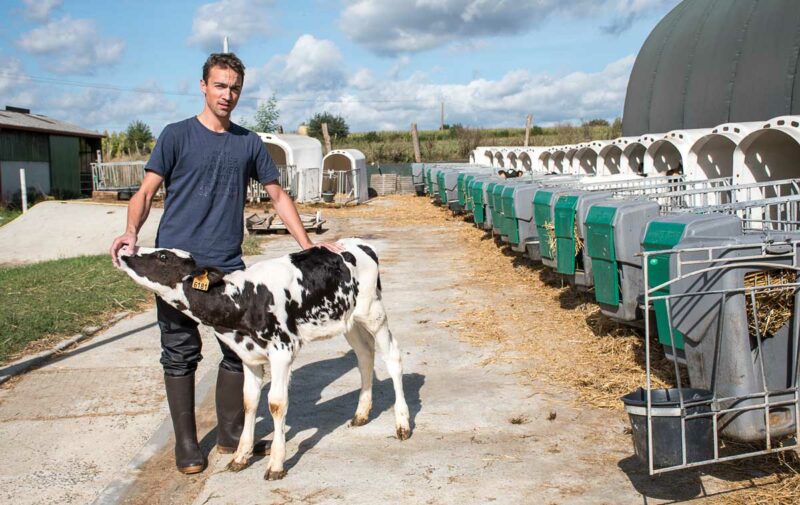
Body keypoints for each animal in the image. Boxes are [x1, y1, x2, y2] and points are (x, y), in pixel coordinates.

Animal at [117, 238, 412, 478]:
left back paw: (402, 424)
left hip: (374, 312)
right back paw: (361, 413)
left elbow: (276, 404)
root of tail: (359, 244)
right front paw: (240, 456)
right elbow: (249, 401)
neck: (242, 299)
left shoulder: (282, 351)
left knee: (392, 357)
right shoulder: (248, 357)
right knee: (364, 355)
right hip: (347, 320)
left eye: (163, 256)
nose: (124, 251)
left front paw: (276, 464)